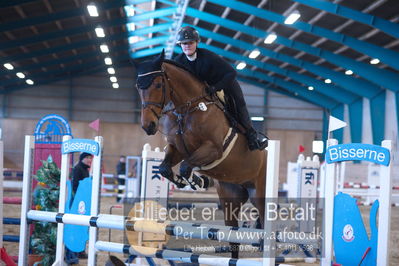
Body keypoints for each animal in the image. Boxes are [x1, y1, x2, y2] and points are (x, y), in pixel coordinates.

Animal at [136, 50, 268, 258]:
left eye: (158, 84)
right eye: (138, 87)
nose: (148, 126)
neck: (187, 109)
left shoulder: (213, 149)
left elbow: (185, 166)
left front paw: (196, 181)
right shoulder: (177, 149)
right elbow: (165, 168)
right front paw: (188, 181)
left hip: (260, 192)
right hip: (231, 197)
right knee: (233, 238)